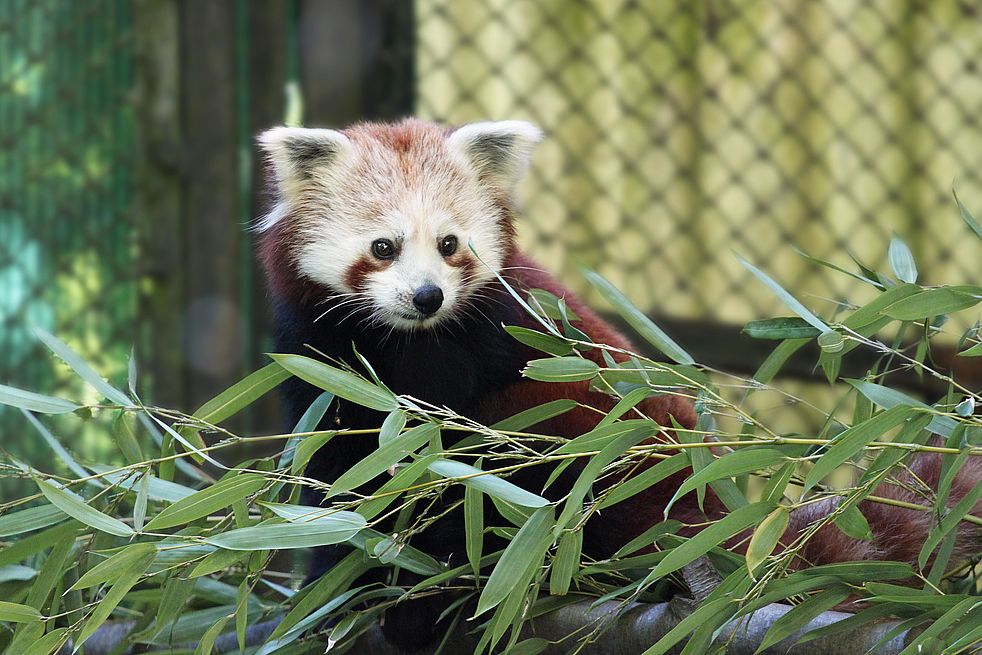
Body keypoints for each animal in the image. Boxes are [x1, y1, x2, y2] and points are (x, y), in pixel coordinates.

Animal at [256, 119, 982, 652]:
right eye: (384, 247)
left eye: (449, 243)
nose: (427, 295)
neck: (405, 344)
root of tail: (720, 516)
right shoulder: (319, 363)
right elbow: (342, 474)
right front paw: (335, 582)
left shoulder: (498, 334)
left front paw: (414, 587)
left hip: (609, 453)